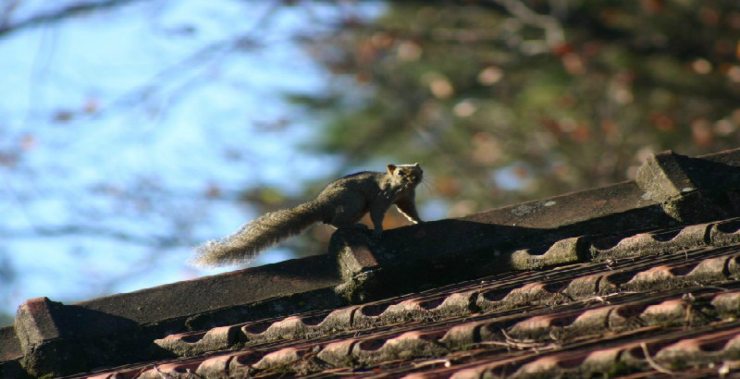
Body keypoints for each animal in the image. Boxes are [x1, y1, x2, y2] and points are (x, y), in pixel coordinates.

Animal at [194, 164, 424, 268]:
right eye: (400, 172)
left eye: (417, 171)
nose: (413, 177)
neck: (401, 188)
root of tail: (321, 205)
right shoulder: (381, 196)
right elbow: (377, 213)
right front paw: (378, 230)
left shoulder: (407, 199)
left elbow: (409, 211)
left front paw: (419, 221)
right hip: (353, 203)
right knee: (337, 222)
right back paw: (356, 227)